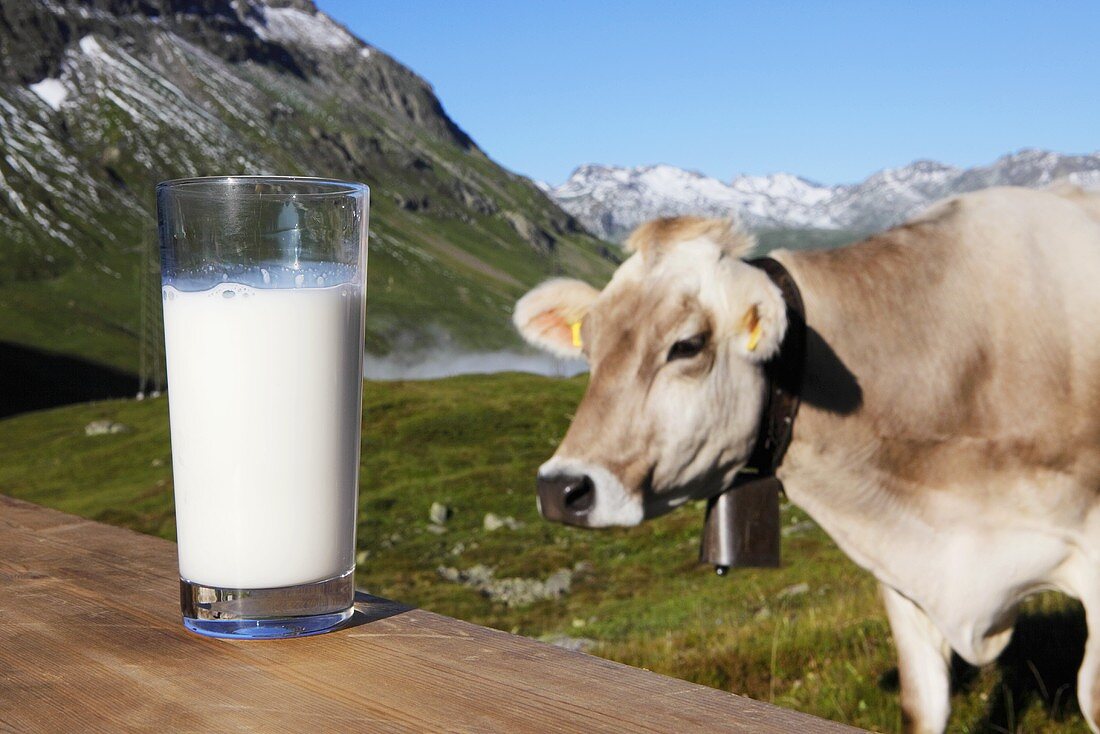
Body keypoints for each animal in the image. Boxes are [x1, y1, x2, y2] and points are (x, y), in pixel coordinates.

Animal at [510, 187, 1100, 730]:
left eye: (687, 345)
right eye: (590, 349)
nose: (560, 488)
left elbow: (1090, 694)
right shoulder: (905, 572)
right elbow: (923, 701)